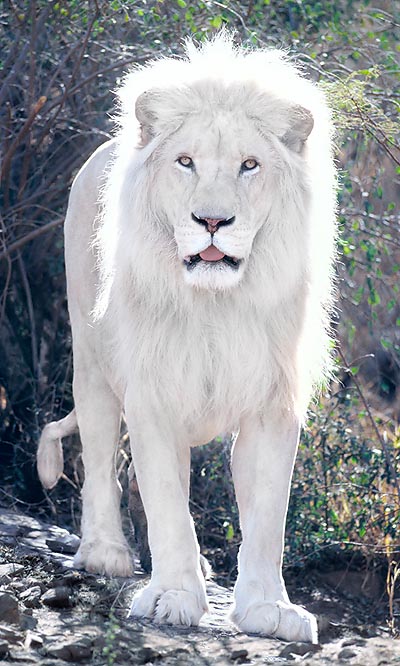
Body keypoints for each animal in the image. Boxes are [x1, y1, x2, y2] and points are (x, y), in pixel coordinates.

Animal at [37, 33, 338, 640]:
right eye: (185, 162)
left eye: (249, 165)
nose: (213, 222)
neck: (218, 304)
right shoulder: (153, 394)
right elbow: (168, 505)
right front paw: (174, 596)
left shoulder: (273, 399)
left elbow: (267, 515)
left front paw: (269, 609)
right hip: (92, 365)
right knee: (100, 461)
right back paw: (106, 553)